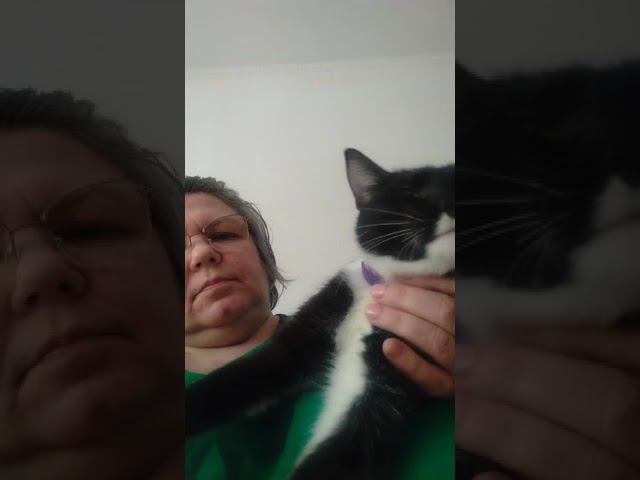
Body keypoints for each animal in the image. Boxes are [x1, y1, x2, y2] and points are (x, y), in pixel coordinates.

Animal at [186, 148, 455, 480]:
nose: (447, 204)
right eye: (411, 194)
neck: (380, 286)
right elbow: (239, 377)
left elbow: (355, 433)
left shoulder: (387, 372)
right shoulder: (318, 317)